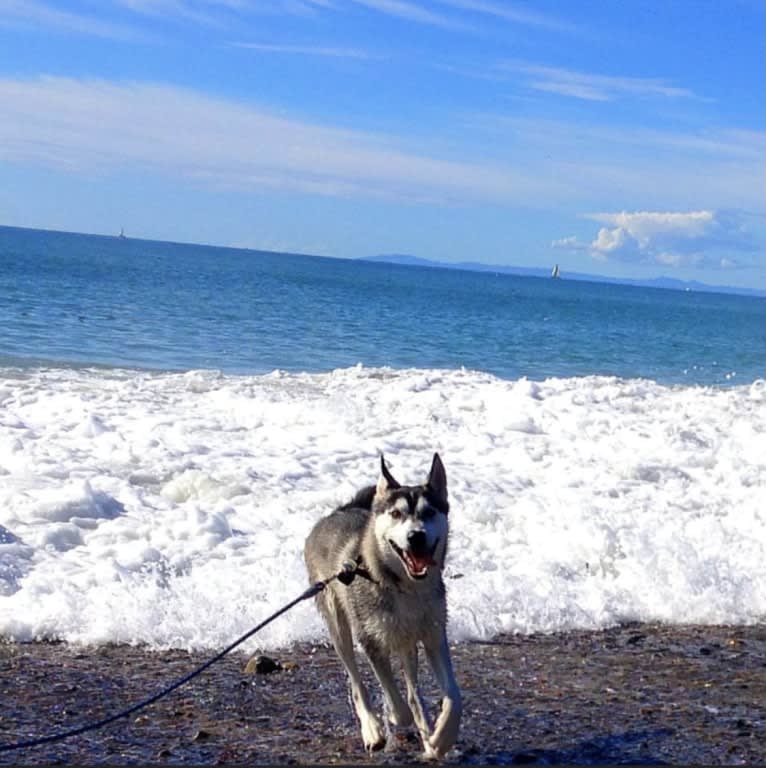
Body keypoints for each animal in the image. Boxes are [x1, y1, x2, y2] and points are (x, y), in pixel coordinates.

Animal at [304, 452, 462, 760]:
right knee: (356, 684)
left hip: (407, 640)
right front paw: (391, 717)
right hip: (340, 626)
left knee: (413, 691)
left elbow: (453, 697)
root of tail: (337, 512)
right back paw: (373, 730)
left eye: (429, 512)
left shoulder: (434, 635)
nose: (416, 536)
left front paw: (441, 738)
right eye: (397, 514)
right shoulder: (371, 639)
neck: (406, 588)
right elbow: (397, 704)